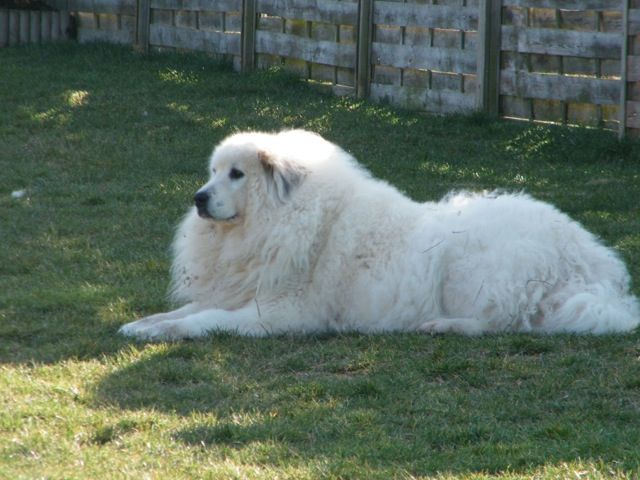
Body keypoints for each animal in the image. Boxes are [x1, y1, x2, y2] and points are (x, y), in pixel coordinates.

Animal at [120, 127, 640, 338]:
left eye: (237, 175)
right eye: (212, 172)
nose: (198, 198)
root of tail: (590, 264)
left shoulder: (283, 313)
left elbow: (203, 320)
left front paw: (164, 333)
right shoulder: (237, 292)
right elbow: (184, 310)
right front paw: (142, 324)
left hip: (471, 269)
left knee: (505, 324)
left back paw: (442, 326)